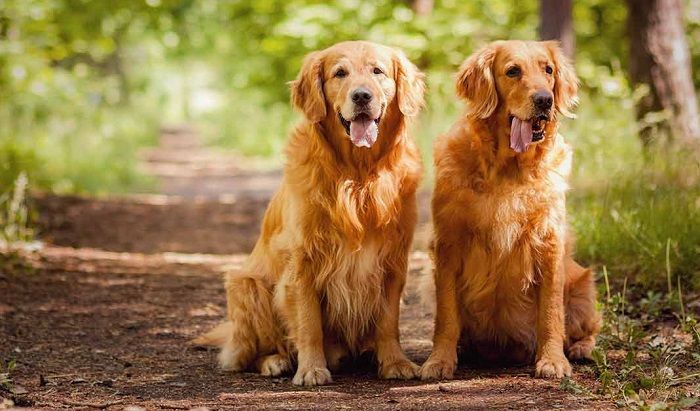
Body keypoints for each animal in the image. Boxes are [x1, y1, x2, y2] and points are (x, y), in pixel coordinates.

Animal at [197, 41, 426, 386]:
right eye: (340, 73)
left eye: (378, 71)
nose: (362, 96)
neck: (358, 174)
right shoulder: (303, 261)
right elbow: (308, 324)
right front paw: (311, 369)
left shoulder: (393, 260)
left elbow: (389, 322)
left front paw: (395, 363)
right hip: (246, 284)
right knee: (248, 353)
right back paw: (275, 361)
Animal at [422, 40, 600, 382]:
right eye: (512, 71)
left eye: (548, 70)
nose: (544, 100)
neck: (508, 169)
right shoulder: (448, 244)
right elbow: (446, 315)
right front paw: (439, 360)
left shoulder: (549, 243)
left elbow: (551, 313)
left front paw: (552, 360)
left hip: (583, 287)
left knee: (589, 329)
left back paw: (581, 348)